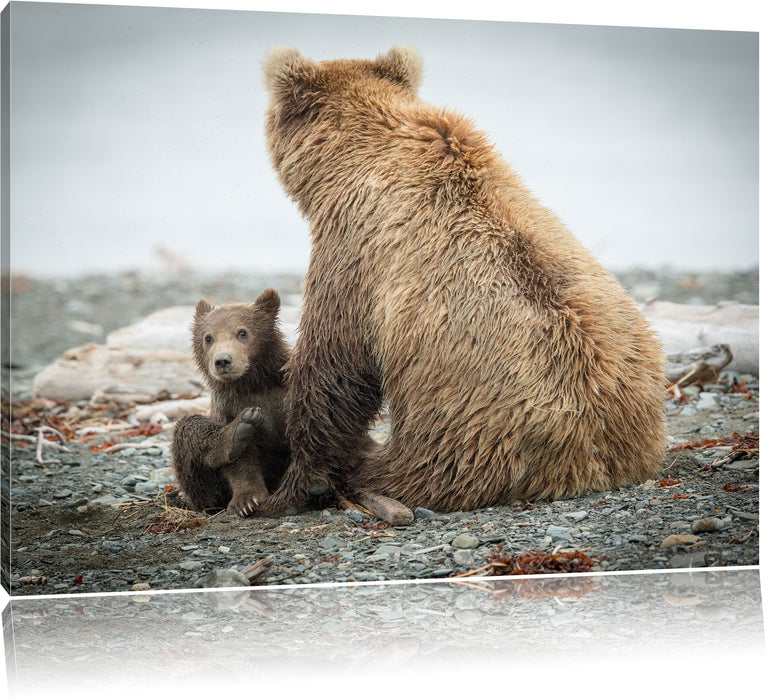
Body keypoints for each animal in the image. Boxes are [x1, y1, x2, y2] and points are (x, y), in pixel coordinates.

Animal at [171, 288, 292, 516]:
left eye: (242, 332)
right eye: (208, 338)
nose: (223, 361)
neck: (253, 384)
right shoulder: (228, 407)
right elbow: (240, 464)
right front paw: (246, 501)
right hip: (206, 492)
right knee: (189, 428)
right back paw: (236, 432)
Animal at [260, 46, 668, 524]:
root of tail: (595, 463)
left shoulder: (354, 247)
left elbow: (333, 364)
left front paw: (290, 487)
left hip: (467, 433)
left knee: (415, 466)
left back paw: (364, 477)